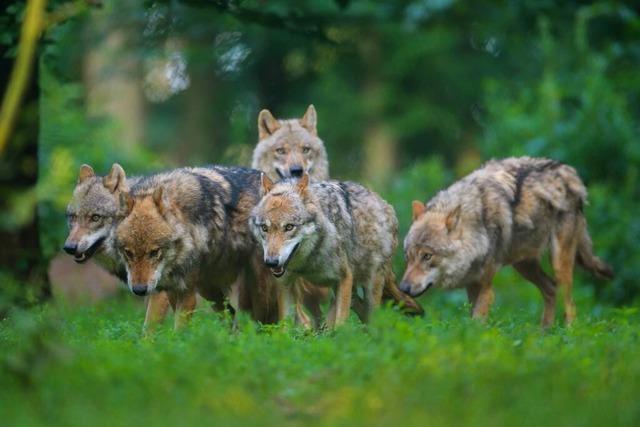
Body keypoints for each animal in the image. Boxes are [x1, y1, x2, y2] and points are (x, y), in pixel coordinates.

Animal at [250, 174, 400, 328]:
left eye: (289, 227)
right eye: (264, 228)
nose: (271, 262)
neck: (307, 263)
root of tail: (384, 203)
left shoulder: (345, 277)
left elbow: (341, 324)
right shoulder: (285, 285)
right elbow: (285, 327)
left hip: (370, 287)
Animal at [400, 157, 616, 328]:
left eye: (427, 256)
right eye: (408, 257)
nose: (403, 289)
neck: (478, 227)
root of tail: (570, 173)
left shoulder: (486, 287)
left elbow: (477, 321)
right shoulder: (471, 285)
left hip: (558, 264)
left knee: (569, 304)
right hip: (524, 266)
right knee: (550, 289)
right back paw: (545, 333)